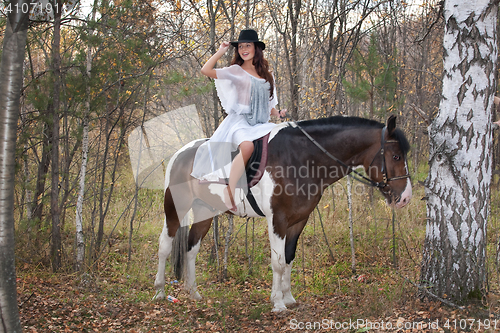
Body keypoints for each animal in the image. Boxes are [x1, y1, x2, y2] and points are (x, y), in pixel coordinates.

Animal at [152, 114, 410, 312]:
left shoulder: (298, 221)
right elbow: (277, 262)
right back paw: (159, 291)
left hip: (204, 211)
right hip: (175, 208)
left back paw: (193, 292)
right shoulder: (278, 219)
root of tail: (180, 154)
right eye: (396, 156)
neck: (303, 159)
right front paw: (277, 303)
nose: (406, 197)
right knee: (165, 245)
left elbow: (288, 258)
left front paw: (288, 297)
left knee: (191, 248)